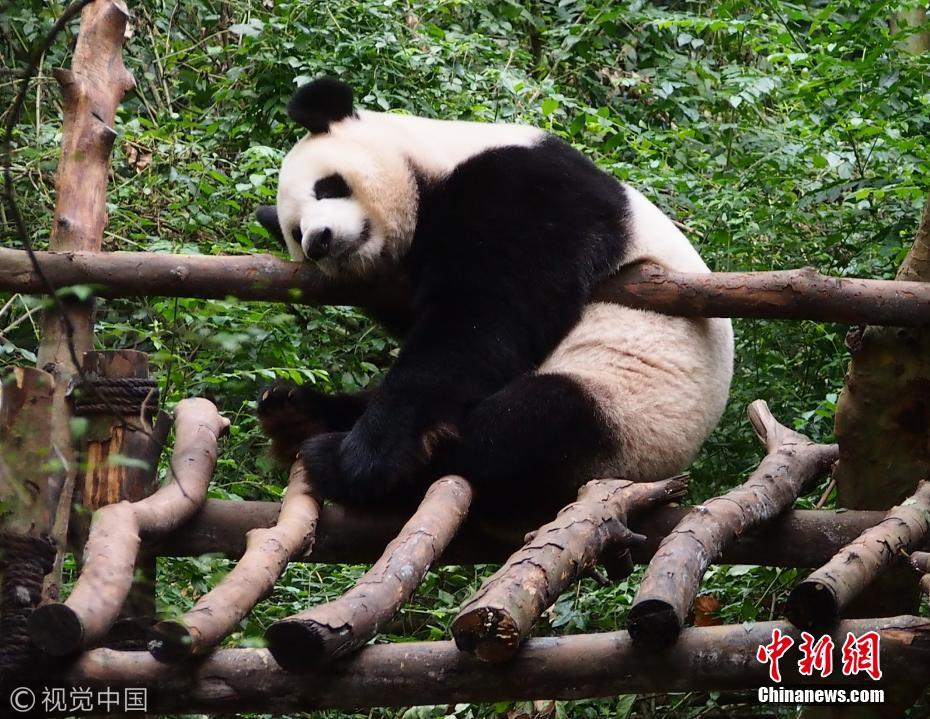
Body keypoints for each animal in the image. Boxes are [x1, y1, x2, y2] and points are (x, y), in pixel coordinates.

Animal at [256, 77, 732, 516]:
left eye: (328, 186)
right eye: (295, 233)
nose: (319, 241)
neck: (437, 158)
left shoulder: (527, 188)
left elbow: (482, 318)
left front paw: (366, 457)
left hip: (632, 414)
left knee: (528, 426)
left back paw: (333, 460)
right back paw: (294, 413)